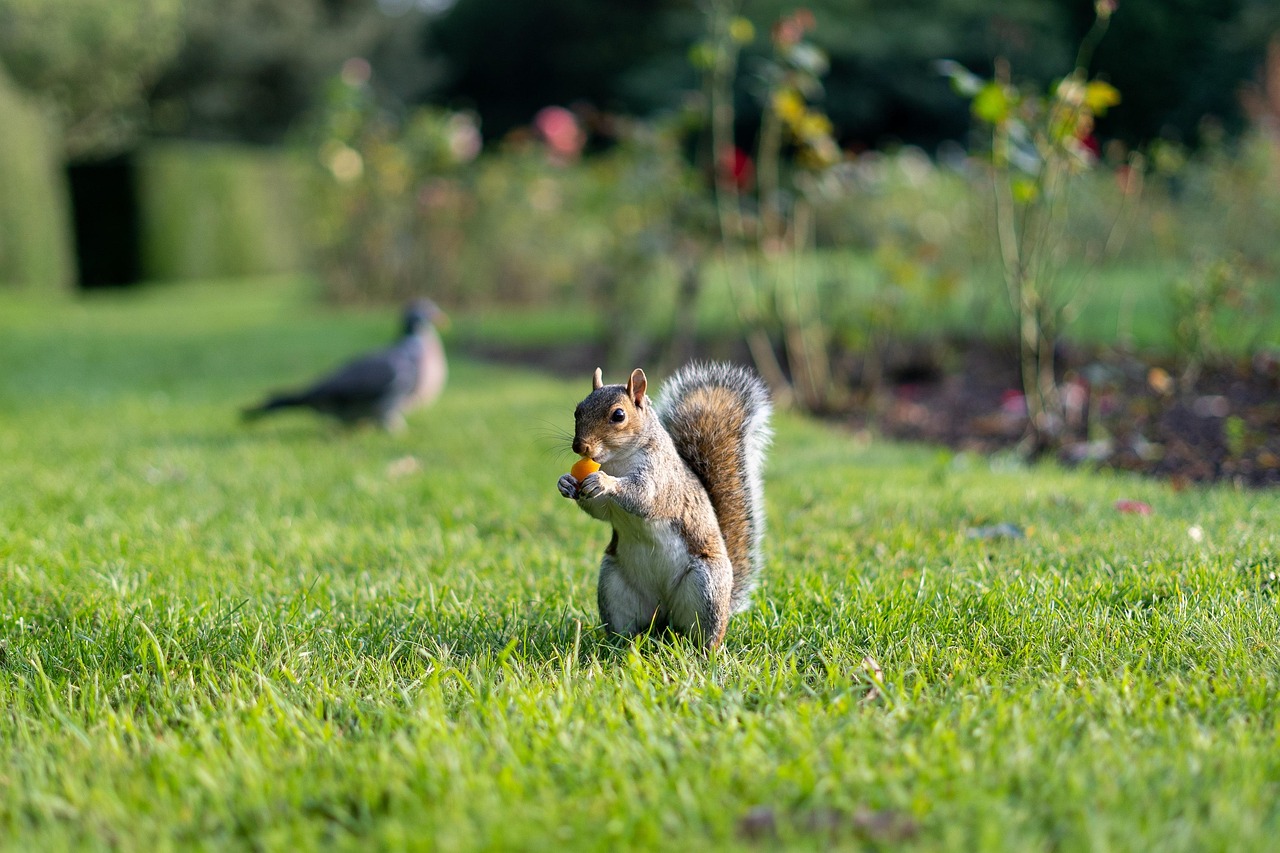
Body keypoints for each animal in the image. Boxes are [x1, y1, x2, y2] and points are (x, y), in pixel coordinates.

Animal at [556, 362, 772, 648]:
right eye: (577, 410)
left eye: (618, 415)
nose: (580, 446)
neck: (617, 462)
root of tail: (665, 614)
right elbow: (600, 510)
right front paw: (566, 483)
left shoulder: (661, 479)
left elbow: (644, 496)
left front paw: (605, 482)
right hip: (614, 585)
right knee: (628, 625)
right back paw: (621, 645)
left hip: (706, 587)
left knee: (704, 633)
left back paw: (702, 651)